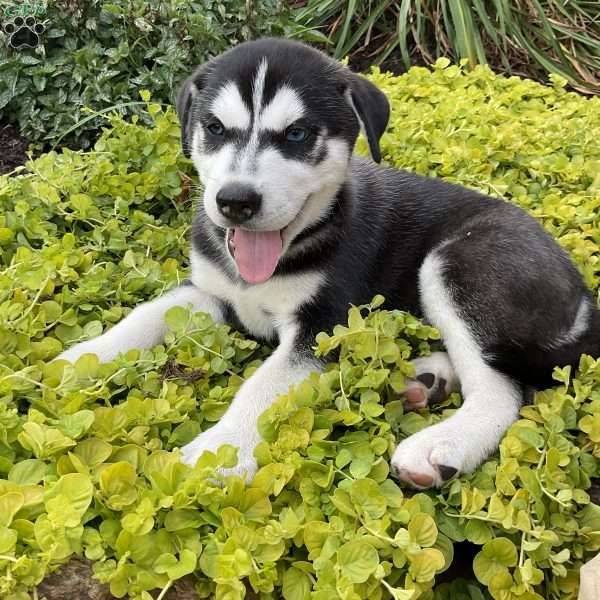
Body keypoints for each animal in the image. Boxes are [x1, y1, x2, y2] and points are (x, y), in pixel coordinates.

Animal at [57, 36, 600, 488]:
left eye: (297, 135)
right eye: (213, 129)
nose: (235, 201)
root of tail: (582, 295)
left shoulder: (323, 323)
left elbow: (264, 383)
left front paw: (221, 449)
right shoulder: (209, 291)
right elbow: (144, 316)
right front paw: (75, 363)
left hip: (457, 264)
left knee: (502, 389)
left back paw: (439, 446)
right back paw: (429, 379)